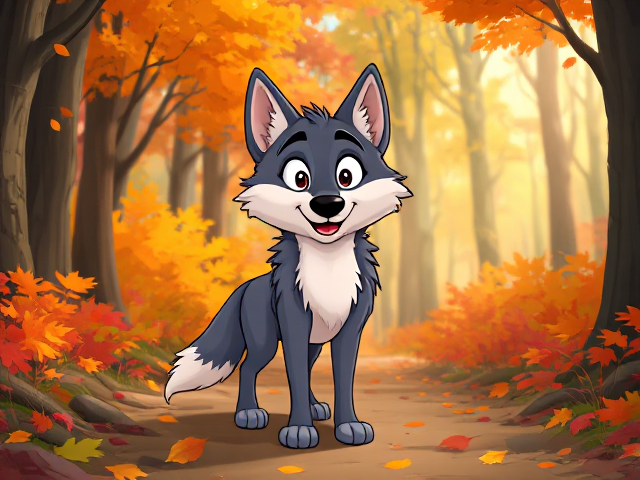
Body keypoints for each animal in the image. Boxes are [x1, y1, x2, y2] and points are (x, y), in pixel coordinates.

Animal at [164, 63, 412, 449]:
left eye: (347, 175)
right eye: (299, 178)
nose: (328, 204)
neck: (328, 268)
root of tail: (246, 286)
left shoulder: (349, 329)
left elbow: (342, 380)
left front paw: (348, 426)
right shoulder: (294, 324)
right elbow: (293, 377)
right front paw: (298, 430)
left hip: (314, 343)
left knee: (306, 371)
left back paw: (315, 407)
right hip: (266, 341)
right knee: (250, 368)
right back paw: (249, 414)